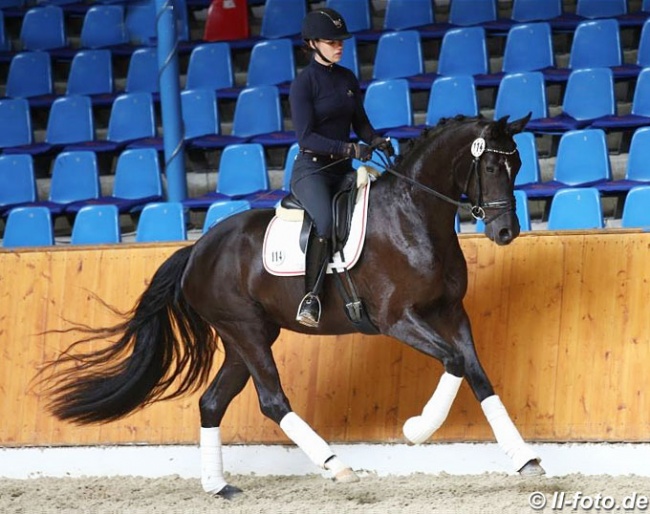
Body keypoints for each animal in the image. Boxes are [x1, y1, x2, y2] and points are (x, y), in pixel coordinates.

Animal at [39, 113, 540, 496]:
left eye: (516, 165)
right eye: (491, 168)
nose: (506, 232)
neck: (414, 216)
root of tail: (197, 250)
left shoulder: (451, 313)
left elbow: (476, 374)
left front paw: (524, 457)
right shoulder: (398, 319)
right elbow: (454, 362)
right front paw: (417, 429)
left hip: (243, 339)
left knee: (212, 403)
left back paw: (218, 486)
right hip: (247, 332)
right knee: (272, 400)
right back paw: (336, 464)